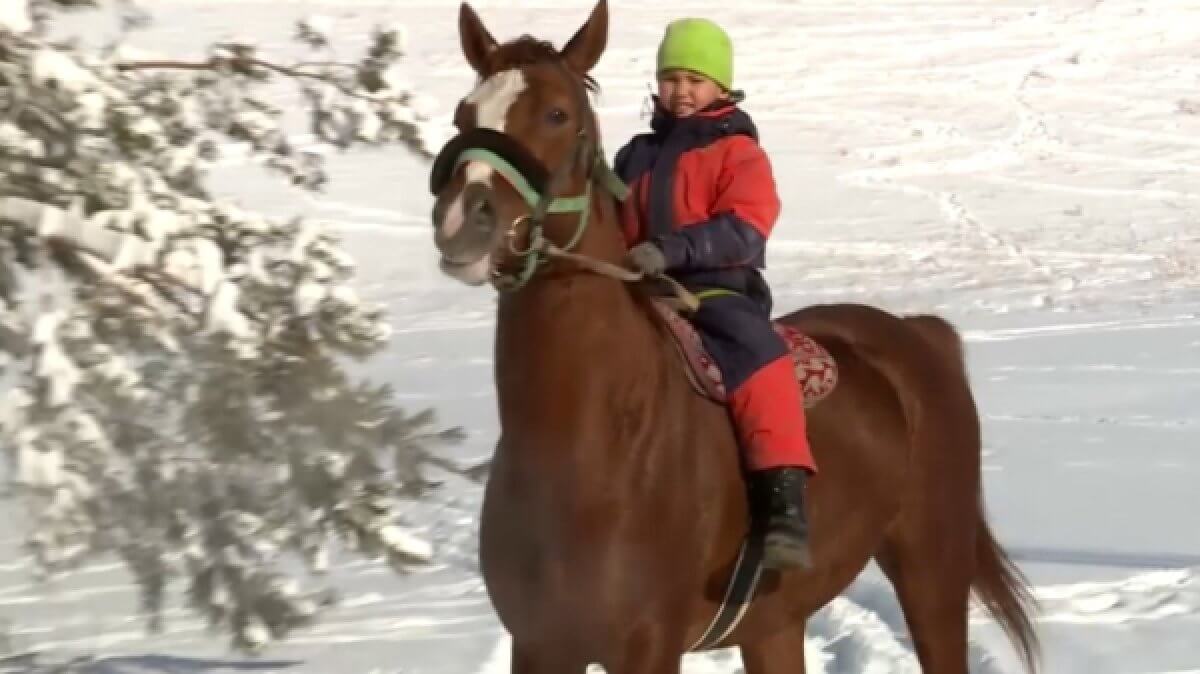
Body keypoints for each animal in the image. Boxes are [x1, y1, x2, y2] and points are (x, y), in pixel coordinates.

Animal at [427, 2, 1036, 666]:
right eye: (464, 114)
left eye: (557, 114)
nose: (462, 221)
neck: (586, 446)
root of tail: (919, 335)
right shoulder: (539, 645)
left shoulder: (648, 649)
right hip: (776, 623)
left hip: (932, 576)